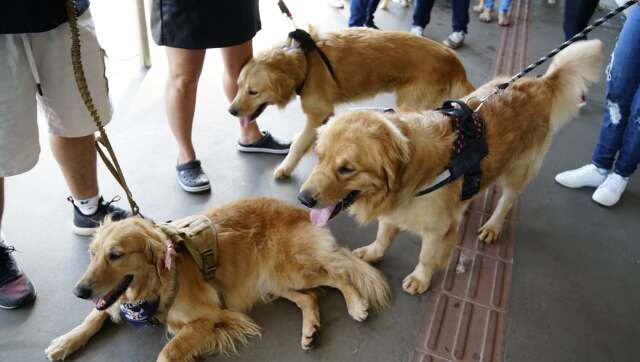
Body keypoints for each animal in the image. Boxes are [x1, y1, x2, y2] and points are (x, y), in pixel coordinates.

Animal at [45, 198, 390, 362]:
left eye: (115, 255)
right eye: (92, 254)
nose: (79, 291)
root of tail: (301, 211)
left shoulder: (211, 317)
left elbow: (167, 351)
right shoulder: (114, 302)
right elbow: (94, 316)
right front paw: (65, 341)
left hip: (290, 268)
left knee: (339, 273)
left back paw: (356, 305)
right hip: (275, 281)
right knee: (310, 296)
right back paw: (310, 330)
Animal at [230, 27, 476, 180]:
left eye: (253, 92)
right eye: (238, 86)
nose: (231, 111)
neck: (305, 61)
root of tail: (454, 61)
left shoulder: (317, 113)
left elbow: (298, 144)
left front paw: (285, 168)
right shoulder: (323, 115)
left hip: (411, 105)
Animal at [298, 40, 604, 294]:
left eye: (347, 169)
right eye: (319, 155)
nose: (303, 199)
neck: (411, 176)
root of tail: (540, 83)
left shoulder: (437, 230)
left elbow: (427, 256)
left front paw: (420, 279)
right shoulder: (393, 211)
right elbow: (384, 235)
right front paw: (374, 252)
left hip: (519, 170)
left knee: (507, 200)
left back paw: (492, 226)